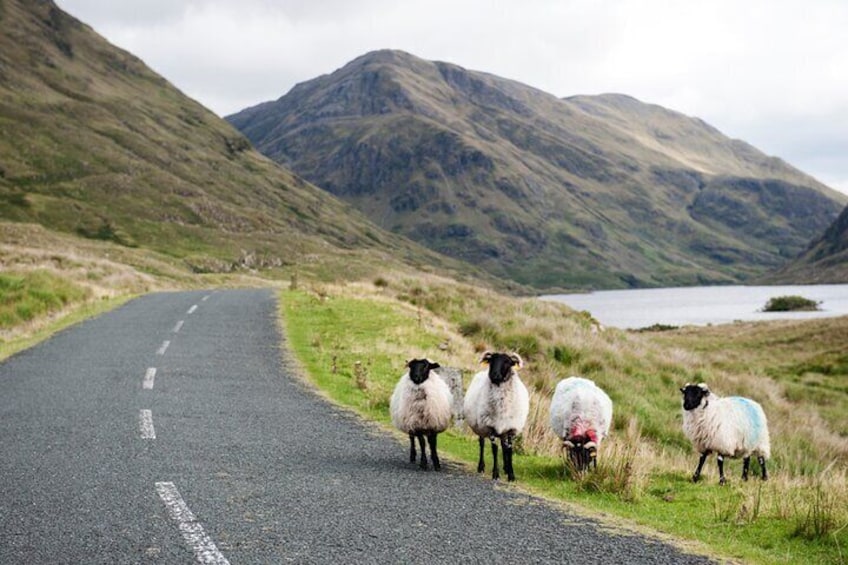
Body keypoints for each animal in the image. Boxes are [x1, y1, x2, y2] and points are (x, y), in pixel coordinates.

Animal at [460, 352, 528, 480]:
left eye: (507, 362)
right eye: (491, 361)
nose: (494, 375)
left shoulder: (510, 428)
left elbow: (509, 450)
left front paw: (511, 475)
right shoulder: (490, 426)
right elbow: (494, 449)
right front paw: (495, 474)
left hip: (502, 429)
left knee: (504, 446)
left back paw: (506, 468)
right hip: (481, 426)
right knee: (482, 444)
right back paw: (481, 467)